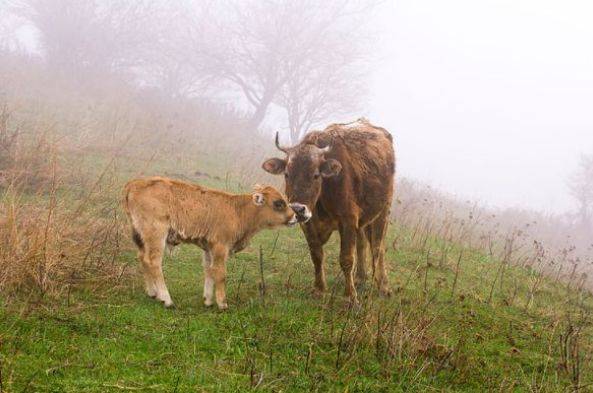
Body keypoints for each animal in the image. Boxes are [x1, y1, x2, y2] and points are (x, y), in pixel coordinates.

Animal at [121, 177, 296, 310]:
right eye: (278, 203)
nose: (295, 216)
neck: (238, 210)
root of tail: (135, 183)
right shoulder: (220, 247)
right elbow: (220, 273)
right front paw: (222, 304)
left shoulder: (208, 248)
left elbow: (209, 270)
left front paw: (208, 300)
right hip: (156, 235)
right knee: (153, 262)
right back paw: (167, 299)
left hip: (140, 237)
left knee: (142, 258)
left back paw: (152, 292)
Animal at [262, 118, 396, 302]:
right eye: (287, 174)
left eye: (316, 175)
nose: (297, 209)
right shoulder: (308, 223)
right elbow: (317, 255)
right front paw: (319, 289)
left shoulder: (348, 219)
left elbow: (346, 259)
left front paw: (350, 297)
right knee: (362, 243)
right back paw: (360, 279)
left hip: (383, 211)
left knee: (377, 246)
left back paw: (383, 287)